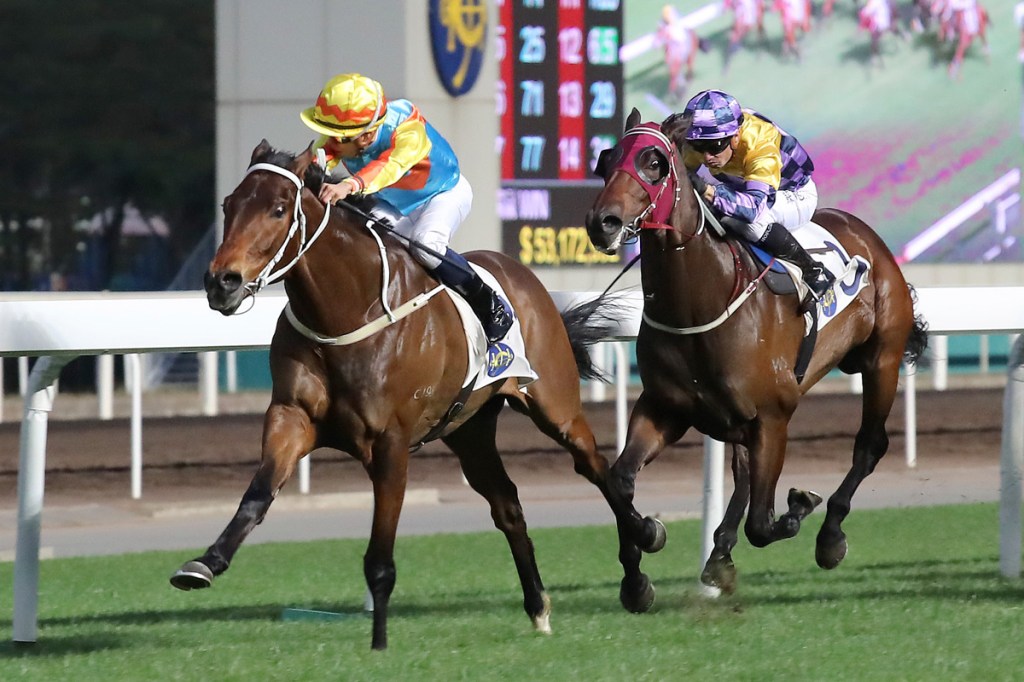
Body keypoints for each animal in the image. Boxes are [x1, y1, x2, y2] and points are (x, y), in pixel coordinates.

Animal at [169, 140, 655, 649]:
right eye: (228, 206)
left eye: (279, 209)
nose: (221, 282)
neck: (345, 309)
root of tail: (522, 276)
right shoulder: (292, 417)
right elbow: (258, 494)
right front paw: (205, 562)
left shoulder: (390, 442)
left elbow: (380, 559)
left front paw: (379, 643)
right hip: (468, 430)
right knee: (508, 505)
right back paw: (539, 607)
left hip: (554, 406)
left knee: (599, 470)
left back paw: (641, 558)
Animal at [583, 110, 928, 609]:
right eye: (606, 160)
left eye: (654, 163)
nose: (602, 222)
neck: (700, 303)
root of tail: (869, 238)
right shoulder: (664, 407)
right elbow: (619, 480)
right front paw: (640, 565)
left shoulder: (774, 416)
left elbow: (764, 524)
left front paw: (800, 505)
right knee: (744, 472)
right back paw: (718, 556)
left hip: (882, 358)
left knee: (869, 444)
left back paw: (829, 536)